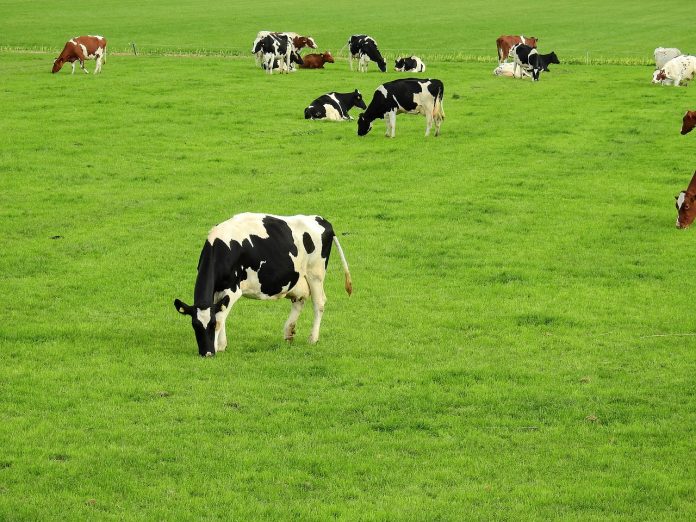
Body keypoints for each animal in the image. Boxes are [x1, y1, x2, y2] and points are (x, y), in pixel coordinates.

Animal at [174, 213, 352, 356]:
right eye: (195, 325)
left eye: (211, 325)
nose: (207, 353)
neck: (222, 247)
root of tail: (320, 219)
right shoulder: (218, 291)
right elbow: (220, 314)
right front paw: (222, 345)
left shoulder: (233, 289)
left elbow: (220, 318)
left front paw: (219, 346)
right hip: (298, 279)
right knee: (299, 301)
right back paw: (288, 333)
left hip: (315, 274)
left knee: (319, 303)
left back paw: (313, 338)